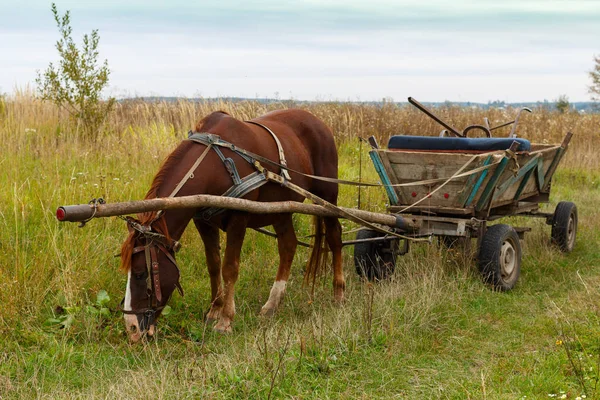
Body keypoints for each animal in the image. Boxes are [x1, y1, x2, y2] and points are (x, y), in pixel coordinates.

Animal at [119, 108, 344, 340]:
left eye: (140, 273)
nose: (132, 328)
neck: (214, 165)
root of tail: (319, 122)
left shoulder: (239, 217)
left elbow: (229, 268)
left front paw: (225, 320)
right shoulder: (203, 221)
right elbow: (213, 265)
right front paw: (214, 311)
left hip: (326, 196)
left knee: (335, 236)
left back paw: (338, 293)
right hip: (281, 208)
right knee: (288, 245)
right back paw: (272, 305)